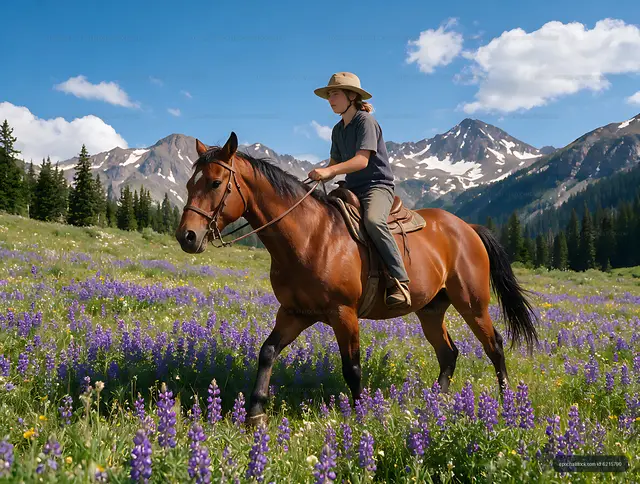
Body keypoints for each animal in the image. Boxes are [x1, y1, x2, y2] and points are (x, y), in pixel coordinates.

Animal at [175, 131, 539, 427]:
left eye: (215, 183)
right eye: (189, 184)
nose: (187, 237)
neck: (310, 237)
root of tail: (468, 229)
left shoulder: (344, 314)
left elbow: (352, 369)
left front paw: (362, 414)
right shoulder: (294, 313)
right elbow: (267, 352)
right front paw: (254, 414)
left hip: (473, 304)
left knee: (494, 346)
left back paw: (506, 404)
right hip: (432, 310)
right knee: (448, 353)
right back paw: (436, 404)